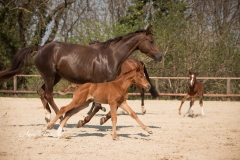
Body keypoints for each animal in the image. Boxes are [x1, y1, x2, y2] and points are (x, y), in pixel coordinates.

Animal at [0, 26, 163, 122]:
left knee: (41, 92)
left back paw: (48, 115)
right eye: (151, 41)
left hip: (55, 76)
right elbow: (97, 105)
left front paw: (103, 118)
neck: (111, 56)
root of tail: (40, 47)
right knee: (48, 95)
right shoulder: (101, 83)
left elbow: (111, 104)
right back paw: (61, 116)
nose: (160, 56)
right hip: (50, 76)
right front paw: (85, 120)